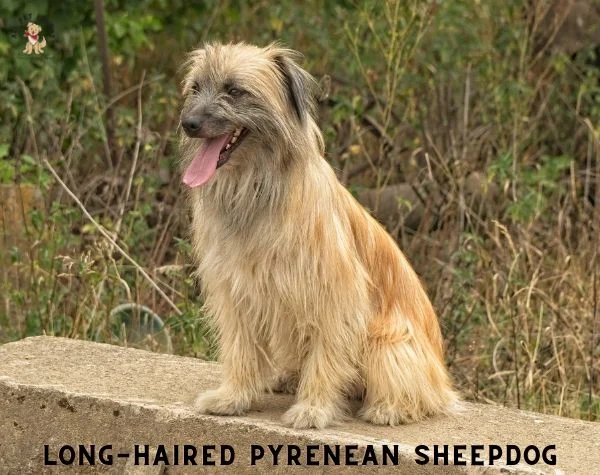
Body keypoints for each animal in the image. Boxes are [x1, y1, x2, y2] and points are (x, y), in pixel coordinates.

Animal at [180, 41, 458, 430]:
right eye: (195, 87)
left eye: (234, 91)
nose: (188, 123)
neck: (257, 188)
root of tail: (442, 379)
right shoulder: (235, 290)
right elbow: (241, 348)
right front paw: (233, 397)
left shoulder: (333, 293)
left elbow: (326, 354)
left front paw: (313, 408)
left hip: (387, 343)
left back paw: (390, 407)